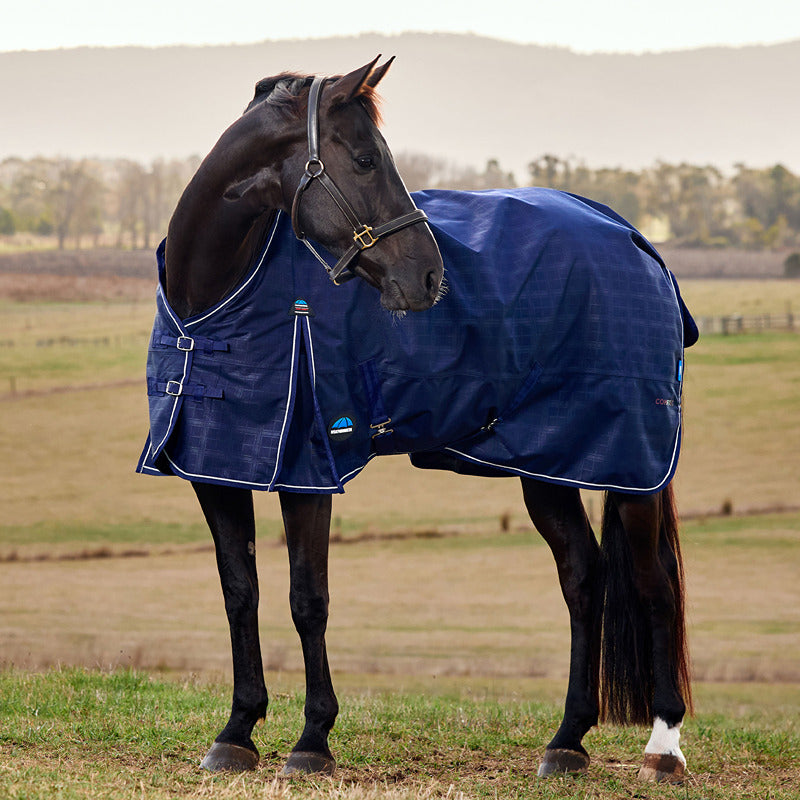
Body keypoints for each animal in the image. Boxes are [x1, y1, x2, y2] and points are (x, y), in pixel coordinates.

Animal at [138, 57, 694, 784]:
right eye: (366, 159)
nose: (430, 278)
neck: (214, 304)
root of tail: (638, 245)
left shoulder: (310, 472)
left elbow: (307, 599)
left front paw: (312, 741)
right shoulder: (216, 468)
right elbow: (241, 593)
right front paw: (237, 733)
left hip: (632, 465)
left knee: (654, 586)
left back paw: (663, 748)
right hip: (548, 464)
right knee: (583, 576)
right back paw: (567, 741)